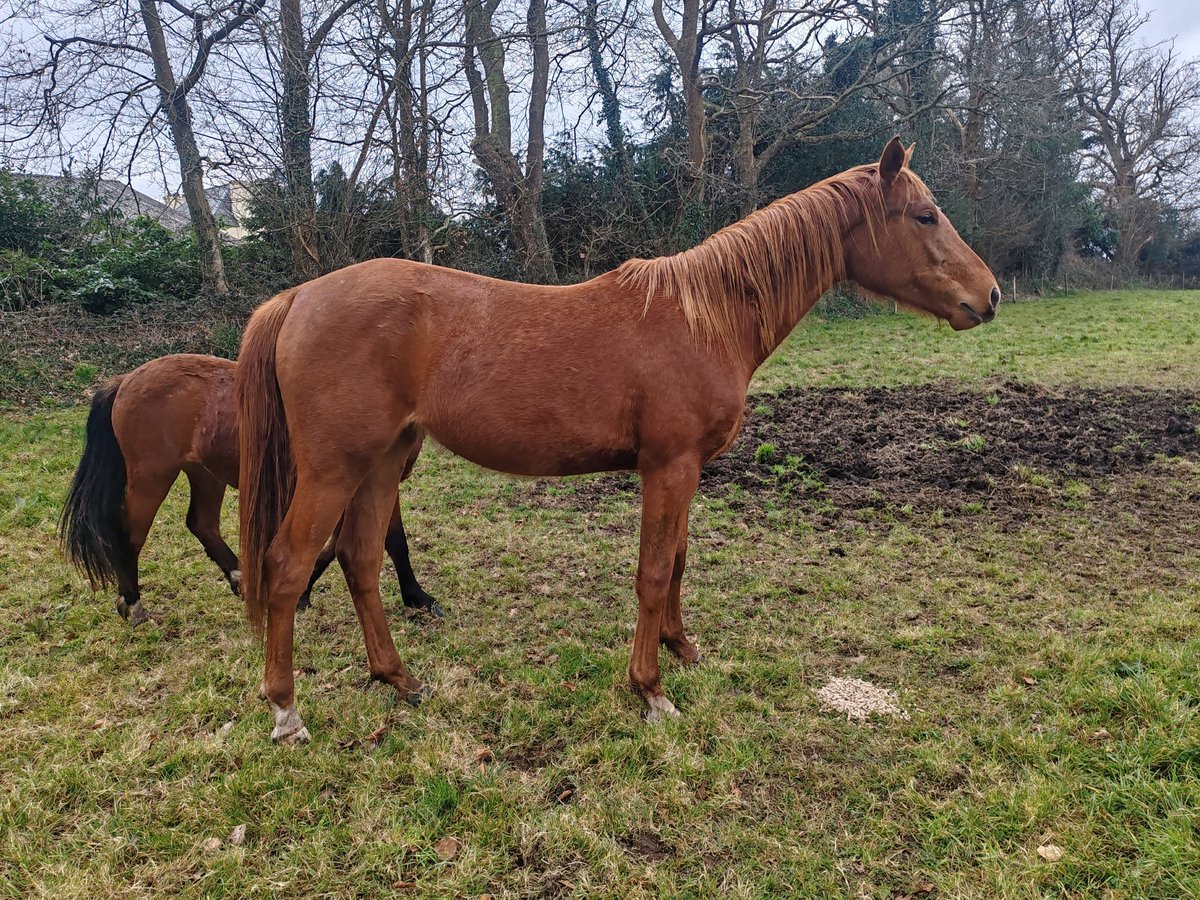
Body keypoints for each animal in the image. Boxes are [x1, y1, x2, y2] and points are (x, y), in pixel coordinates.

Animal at [57, 355, 441, 628]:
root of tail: (125, 381)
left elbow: (373, 543)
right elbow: (375, 543)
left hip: (204, 473)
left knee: (201, 524)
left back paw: (240, 579)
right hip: (151, 479)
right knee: (131, 536)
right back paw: (133, 604)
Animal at [238, 139, 998, 748]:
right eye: (924, 215)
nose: (988, 296)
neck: (703, 318)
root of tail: (299, 297)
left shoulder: (688, 471)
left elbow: (680, 563)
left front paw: (682, 647)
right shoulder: (668, 467)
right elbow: (654, 572)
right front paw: (651, 689)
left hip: (384, 462)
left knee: (360, 561)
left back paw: (399, 679)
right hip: (334, 468)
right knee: (286, 566)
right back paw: (286, 712)